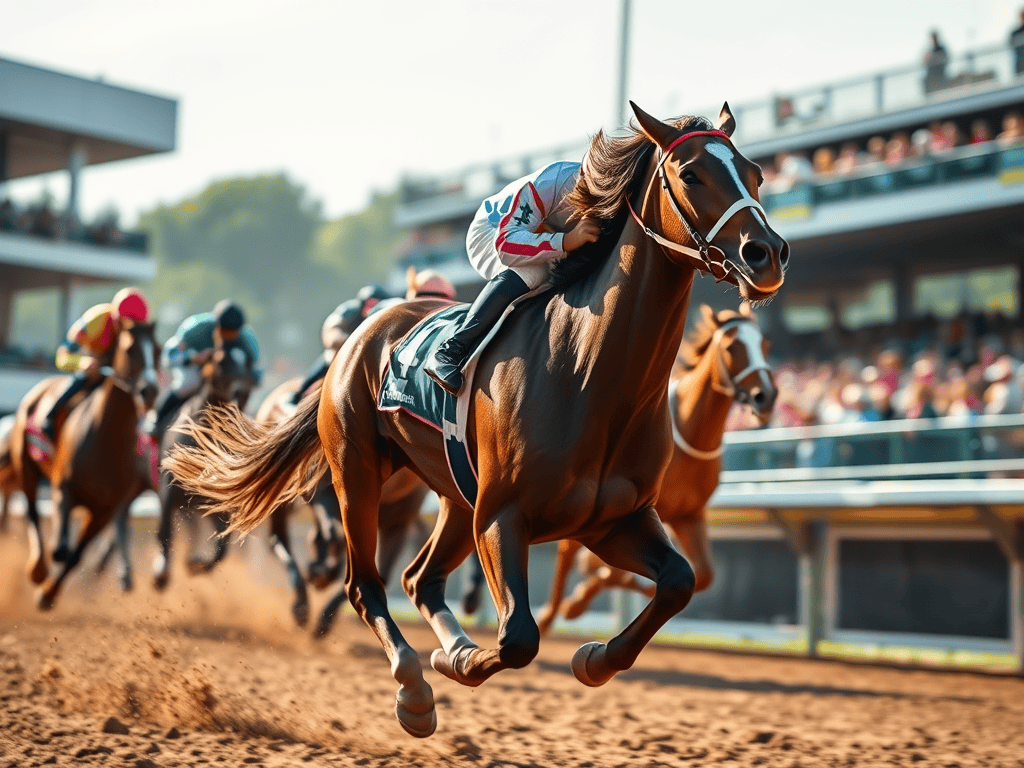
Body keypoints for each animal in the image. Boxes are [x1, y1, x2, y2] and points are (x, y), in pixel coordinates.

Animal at [10, 320, 159, 609]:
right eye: (130, 348)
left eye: (157, 350)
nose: (150, 390)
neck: (105, 440)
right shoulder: (62, 488)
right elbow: (59, 550)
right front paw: (43, 579)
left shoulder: (104, 511)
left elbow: (75, 556)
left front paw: (48, 595)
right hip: (25, 465)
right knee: (32, 511)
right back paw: (38, 569)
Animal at [152, 339, 258, 591]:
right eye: (221, 361)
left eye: (248, 364)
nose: (241, 391)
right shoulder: (168, 485)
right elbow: (165, 528)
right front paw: (161, 574)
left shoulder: (219, 502)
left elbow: (223, 544)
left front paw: (196, 565)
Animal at [534, 303, 777, 634]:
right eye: (732, 347)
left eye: (764, 345)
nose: (765, 396)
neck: (689, 434)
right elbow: (608, 569)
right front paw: (579, 599)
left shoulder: (689, 515)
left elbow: (704, 574)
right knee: (565, 553)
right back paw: (550, 614)